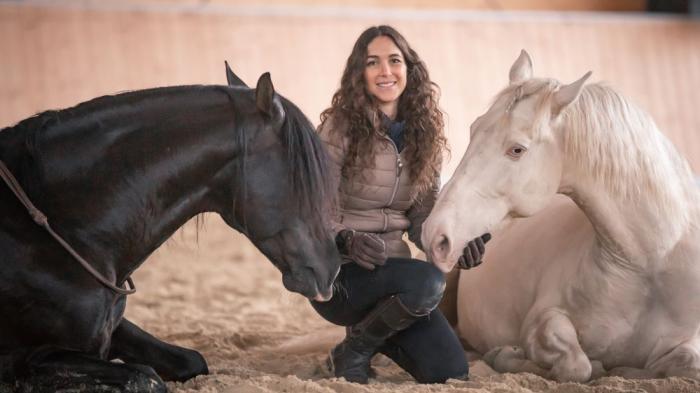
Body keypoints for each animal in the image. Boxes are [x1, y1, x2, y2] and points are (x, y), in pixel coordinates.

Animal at [0, 66, 340, 390]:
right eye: (303, 177)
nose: (331, 271)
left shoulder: (112, 328)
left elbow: (192, 360)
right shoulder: (32, 356)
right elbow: (145, 378)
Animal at [422, 50, 700, 382]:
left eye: (517, 150)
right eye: (473, 129)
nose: (435, 234)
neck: (650, 262)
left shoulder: (688, 343)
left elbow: (683, 362)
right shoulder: (542, 319)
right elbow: (576, 364)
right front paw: (507, 355)